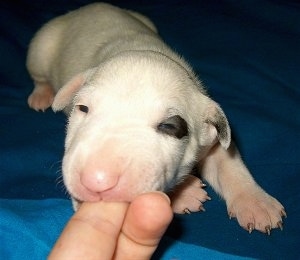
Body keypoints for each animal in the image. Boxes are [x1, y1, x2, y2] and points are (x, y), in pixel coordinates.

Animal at [26, 2, 286, 234]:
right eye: (82, 108)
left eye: (170, 126)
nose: (96, 180)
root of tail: (83, 9)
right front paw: (186, 194)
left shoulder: (209, 131)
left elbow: (229, 163)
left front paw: (256, 203)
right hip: (41, 47)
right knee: (39, 75)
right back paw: (42, 95)